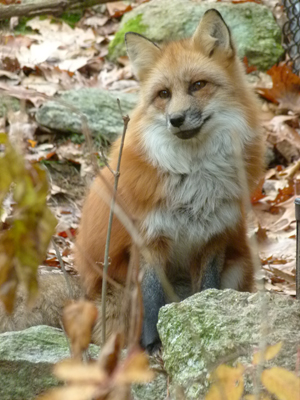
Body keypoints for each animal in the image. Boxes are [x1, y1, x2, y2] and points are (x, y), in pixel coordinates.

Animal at [74, 9, 264, 352]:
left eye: (197, 85)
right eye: (163, 94)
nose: (175, 120)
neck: (195, 176)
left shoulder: (215, 237)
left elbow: (207, 290)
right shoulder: (149, 239)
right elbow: (152, 301)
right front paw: (151, 346)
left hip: (238, 266)